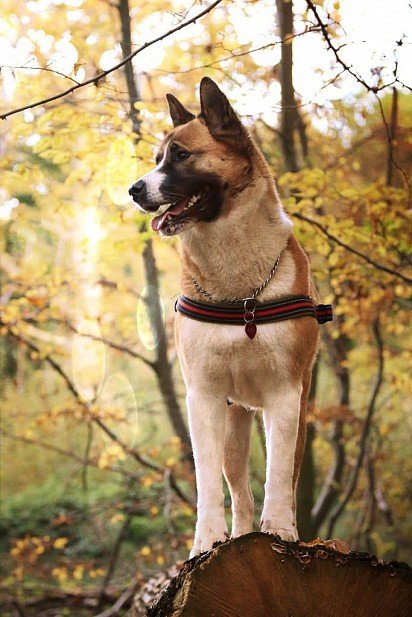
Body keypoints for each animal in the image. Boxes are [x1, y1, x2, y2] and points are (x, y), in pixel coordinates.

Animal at [129, 78, 328, 560]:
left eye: (181, 155)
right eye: (157, 158)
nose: (134, 190)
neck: (240, 295)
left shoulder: (285, 395)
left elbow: (278, 475)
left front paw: (279, 529)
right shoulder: (202, 397)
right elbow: (207, 483)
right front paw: (207, 539)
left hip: (296, 416)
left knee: (285, 474)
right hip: (232, 428)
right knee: (239, 491)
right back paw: (237, 535)